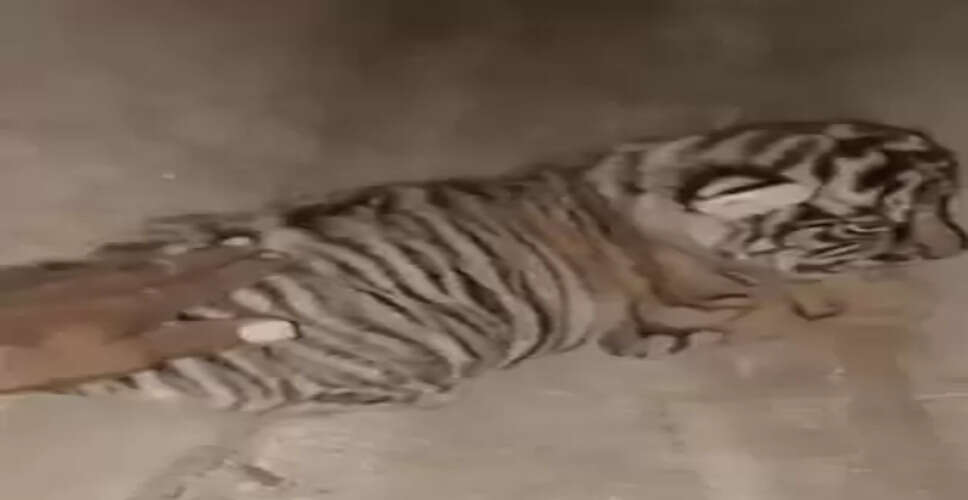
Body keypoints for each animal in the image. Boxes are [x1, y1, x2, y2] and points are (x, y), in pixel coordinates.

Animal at [29, 120, 966, 413]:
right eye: (876, 224)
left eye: (947, 194)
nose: (957, 249)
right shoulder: (672, 318)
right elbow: (785, 309)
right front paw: (874, 305)